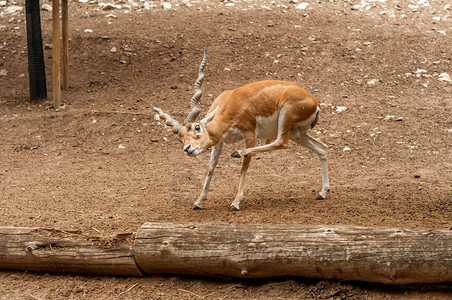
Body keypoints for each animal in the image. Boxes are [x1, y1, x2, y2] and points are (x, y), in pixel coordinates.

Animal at [151, 49, 328, 210]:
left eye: (197, 127)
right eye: (180, 137)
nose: (187, 148)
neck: (227, 107)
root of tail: (314, 102)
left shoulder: (250, 136)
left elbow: (244, 167)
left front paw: (235, 202)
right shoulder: (218, 142)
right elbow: (211, 168)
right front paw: (198, 202)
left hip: (285, 120)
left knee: (280, 143)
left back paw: (238, 153)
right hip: (297, 133)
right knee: (322, 148)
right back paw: (322, 192)